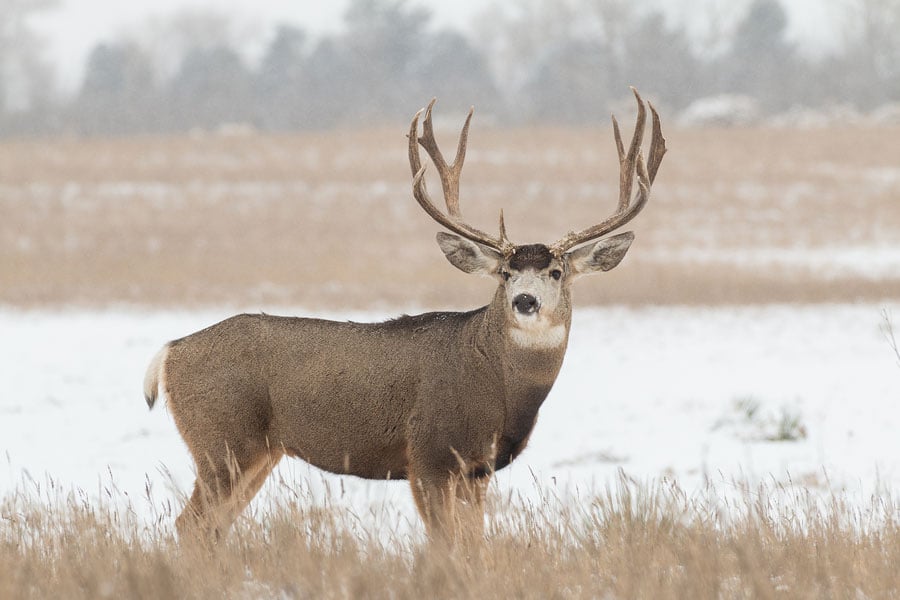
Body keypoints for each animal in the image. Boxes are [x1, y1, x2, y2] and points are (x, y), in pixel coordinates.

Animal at [143, 88, 666, 546]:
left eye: (556, 271)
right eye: (505, 272)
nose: (524, 301)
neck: (496, 387)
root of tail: (171, 351)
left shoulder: (476, 470)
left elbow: (473, 544)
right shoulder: (428, 454)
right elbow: (445, 546)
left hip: (257, 453)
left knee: (211, 528)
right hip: (223, 440)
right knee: (190, 525)